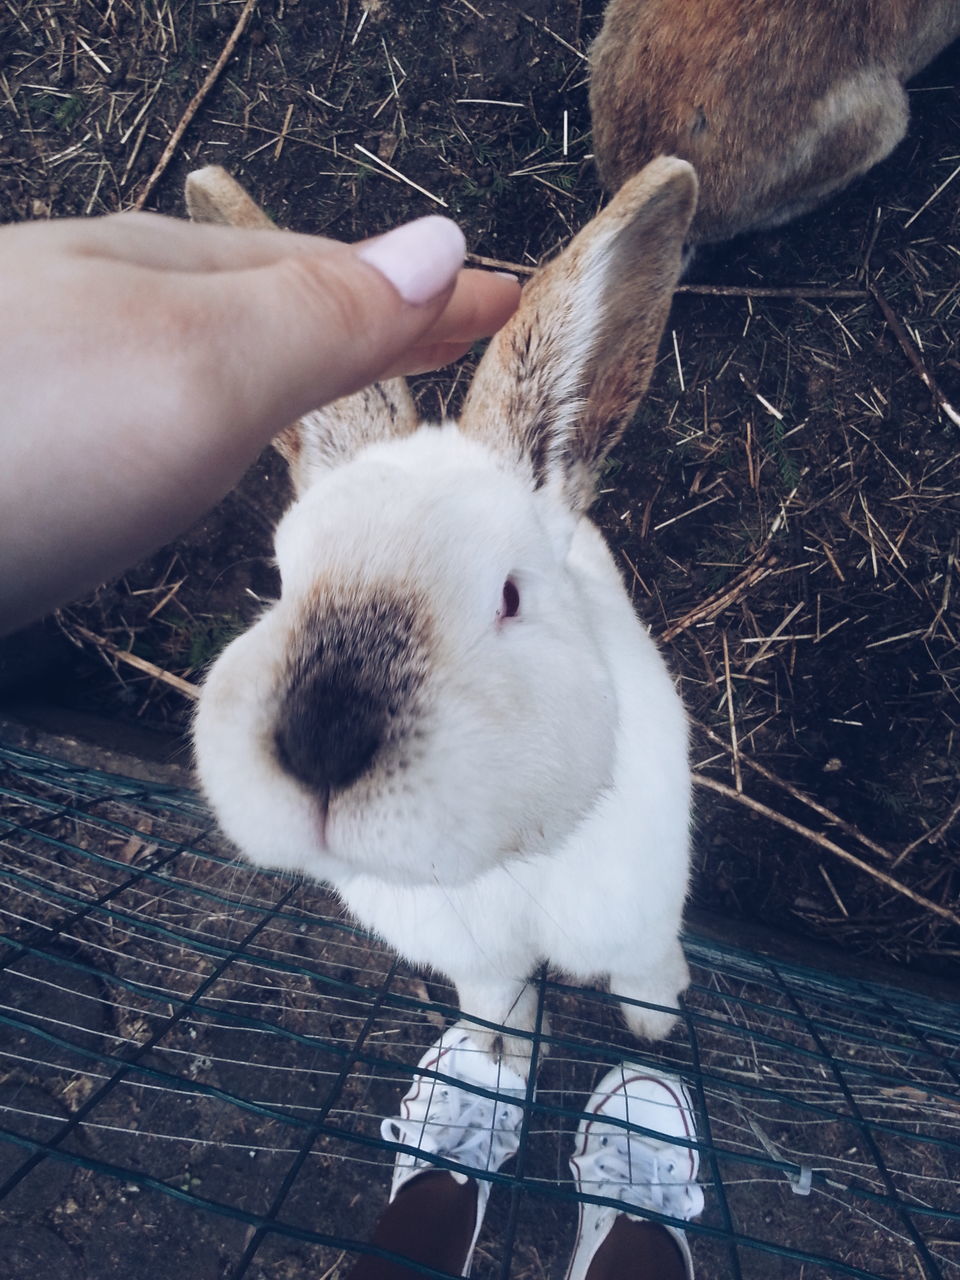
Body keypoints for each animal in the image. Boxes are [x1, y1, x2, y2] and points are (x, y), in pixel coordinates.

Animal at [189, 157, 701, 1059]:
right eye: (280, 577)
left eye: (510, 594)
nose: (322, 743)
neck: (500, 868)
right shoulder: (480, 963)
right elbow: (498, 999)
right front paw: (497, 1055)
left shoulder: (638, 922)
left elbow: (645, 970)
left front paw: (655, 1026)